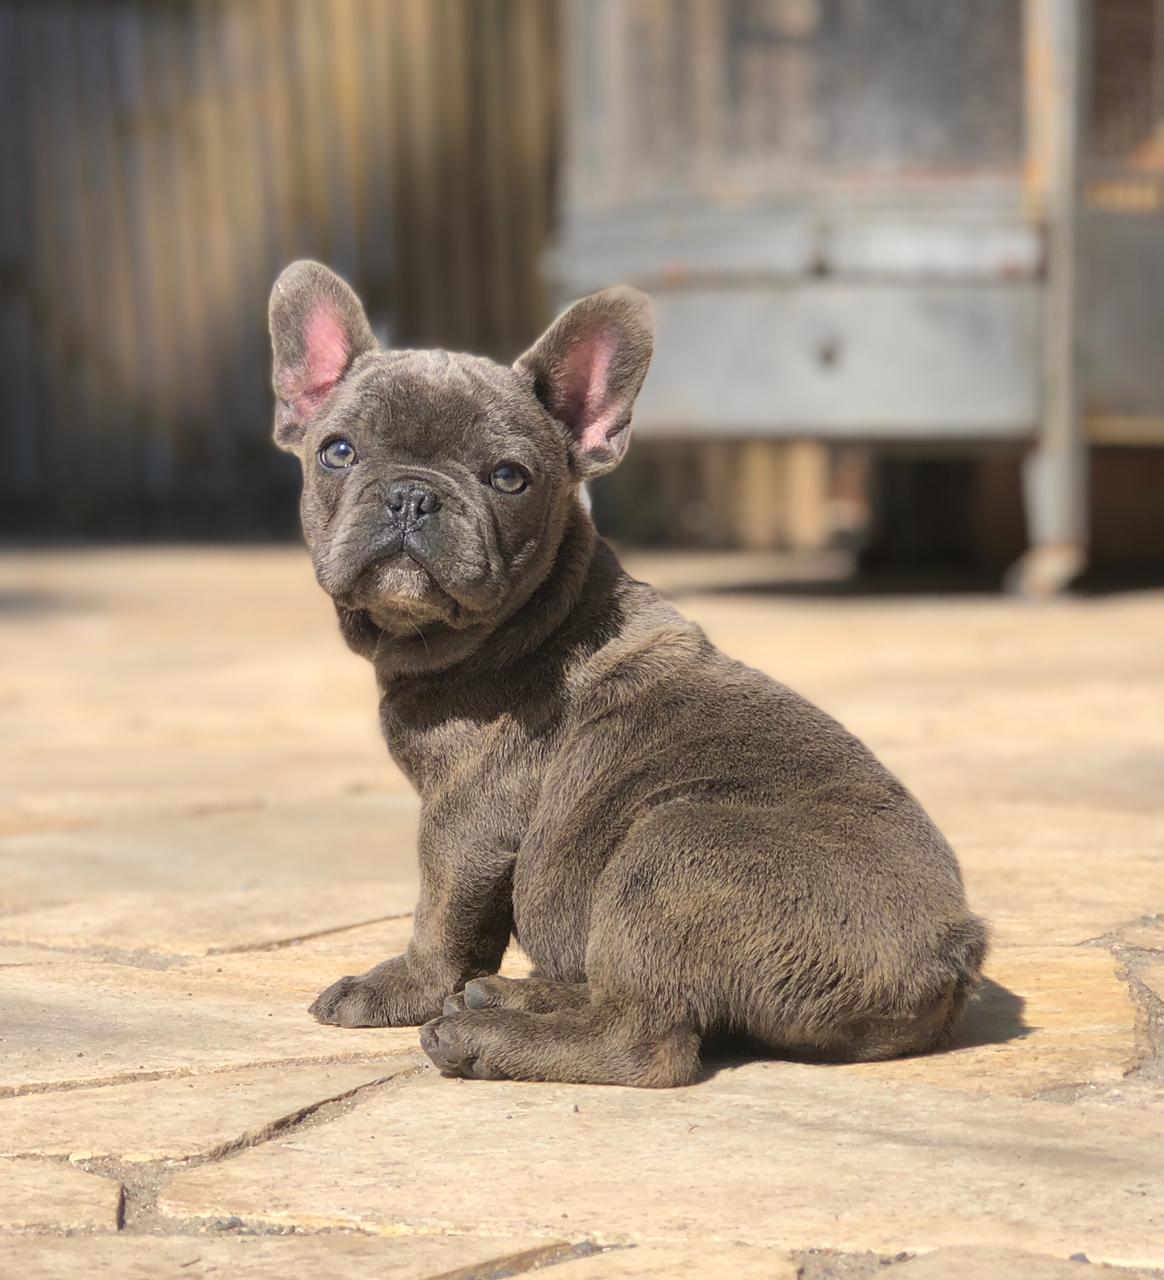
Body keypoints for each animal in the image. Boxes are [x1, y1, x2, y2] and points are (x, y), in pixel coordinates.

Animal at [267, 259, 983, 1090]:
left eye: (509, 477)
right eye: (337, 452)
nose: (413, 493)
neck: (526, 619)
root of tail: (951, 956)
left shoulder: (465, 820)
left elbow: (441, 918)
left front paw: (398, 989)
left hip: (671, 851)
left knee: (646, 1039)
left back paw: (486, 1036)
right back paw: (520, 994)